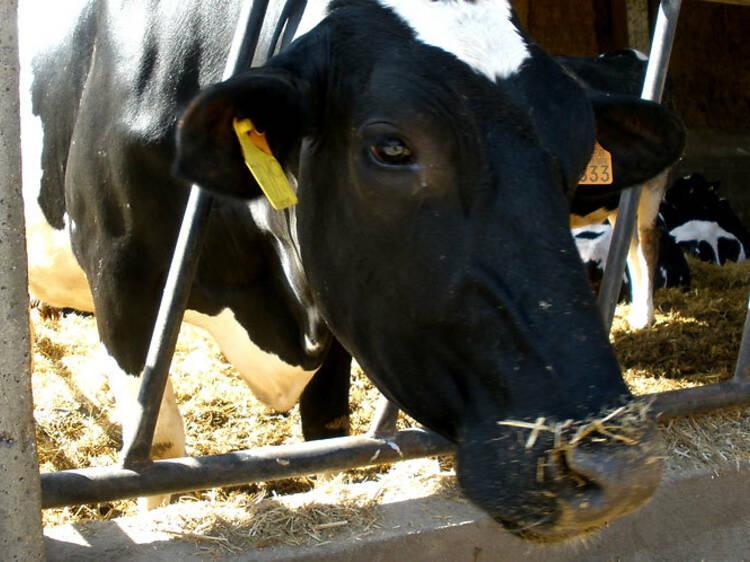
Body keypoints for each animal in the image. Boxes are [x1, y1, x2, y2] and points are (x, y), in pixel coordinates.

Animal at [19, 0, 688, 540]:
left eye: (580, 150)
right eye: (390, 148)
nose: (619, 470)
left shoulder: (335, 302)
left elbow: (328, 432)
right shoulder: (125, 285)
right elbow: (155, 444)